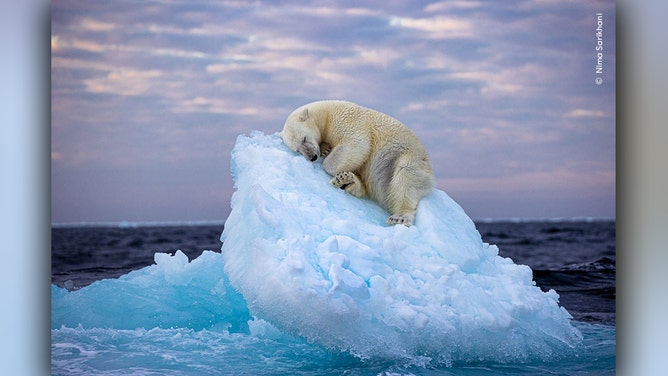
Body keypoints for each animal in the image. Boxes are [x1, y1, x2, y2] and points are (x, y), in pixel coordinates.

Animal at [276, 99, 434, 226]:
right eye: (297, 150)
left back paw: (400, 217)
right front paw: (326, 149)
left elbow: (357, 143)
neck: (326, 113)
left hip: (409, 158)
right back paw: (346, 181)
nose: (313, 157)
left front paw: (327, 159)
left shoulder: (346, 120)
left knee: (406, 177)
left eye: (304, 139)